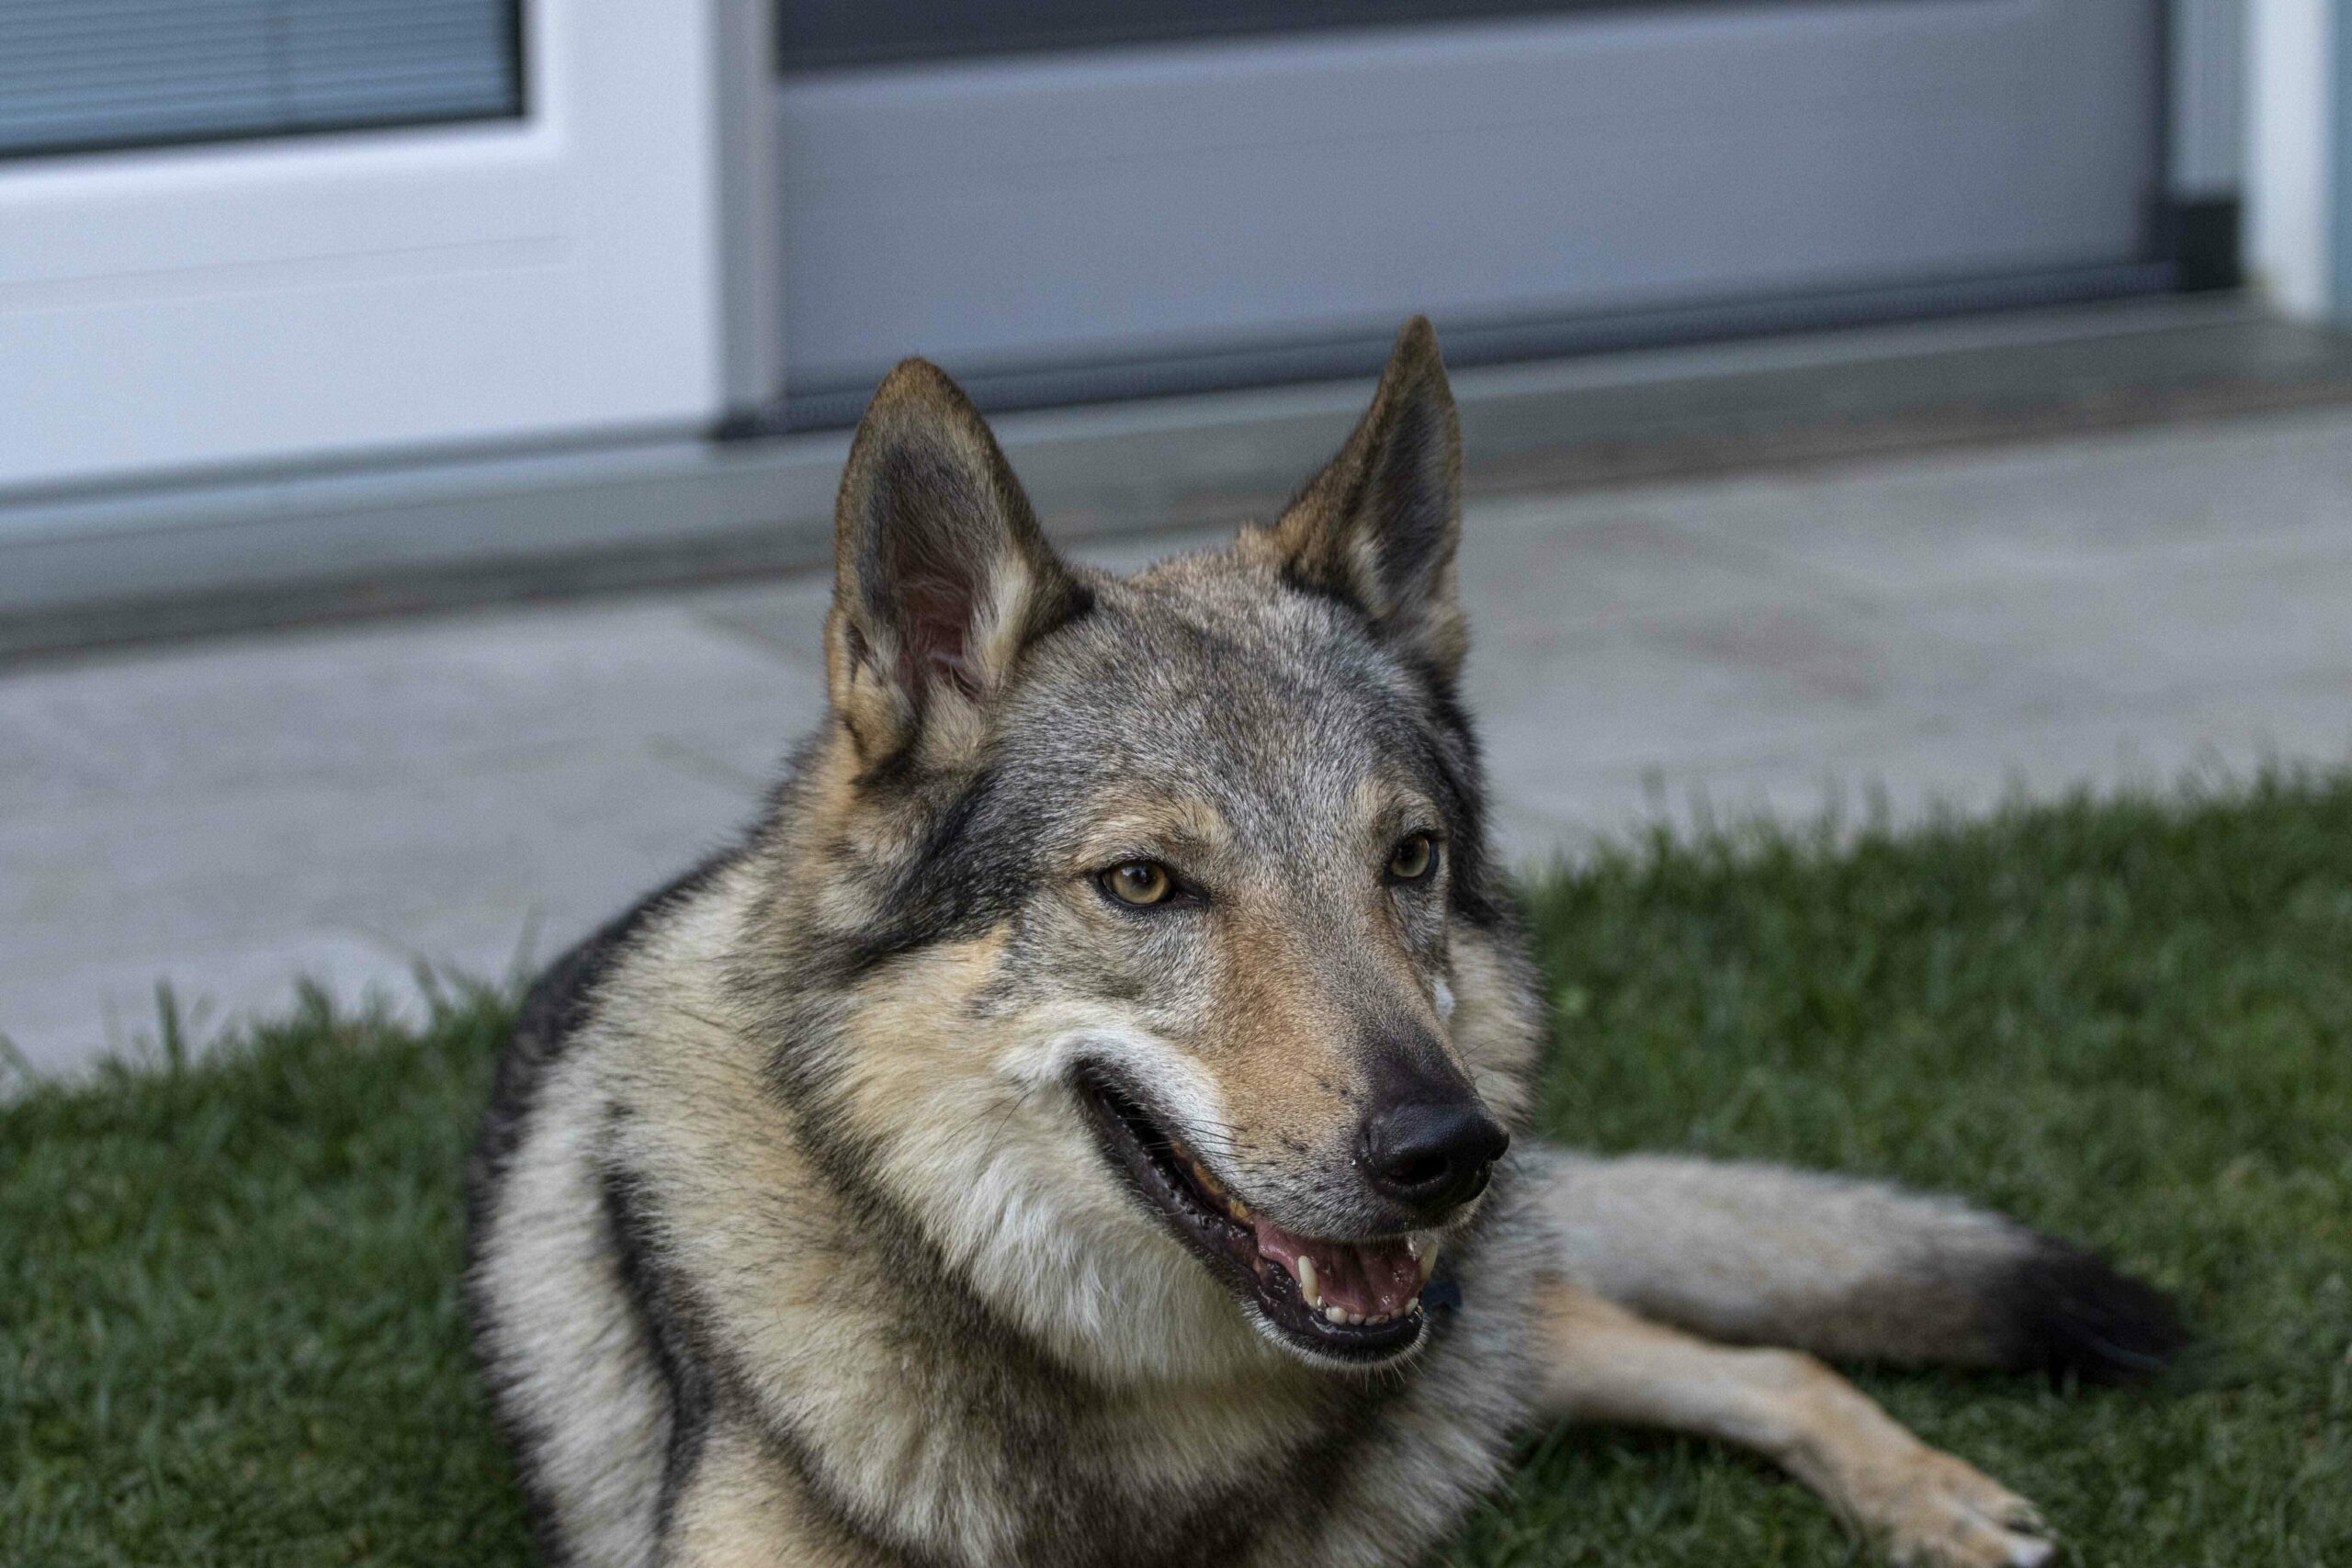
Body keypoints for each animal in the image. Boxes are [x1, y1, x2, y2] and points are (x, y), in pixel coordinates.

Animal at [466, 319, 2182, 1568]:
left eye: (1407, 860)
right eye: (1145, 884)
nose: (1449, 1151)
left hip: (1506, 1329)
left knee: (1764, 1361)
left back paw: (1940, 1500)